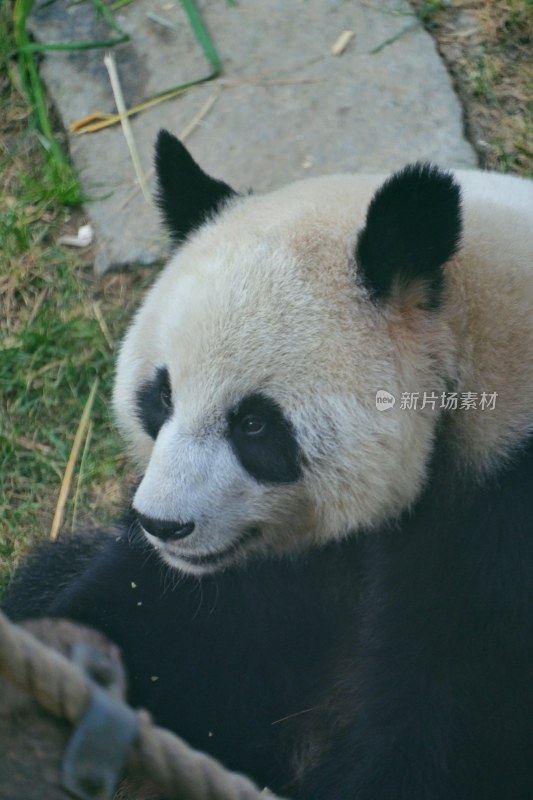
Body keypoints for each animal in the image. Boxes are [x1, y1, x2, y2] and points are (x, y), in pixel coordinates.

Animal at [4, 133, 532, 800]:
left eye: (254, 424)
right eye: (162, 396)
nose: (163, 525)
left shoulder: (500, 527)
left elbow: (444, 730)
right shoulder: (248, 573)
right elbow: (158, 620)